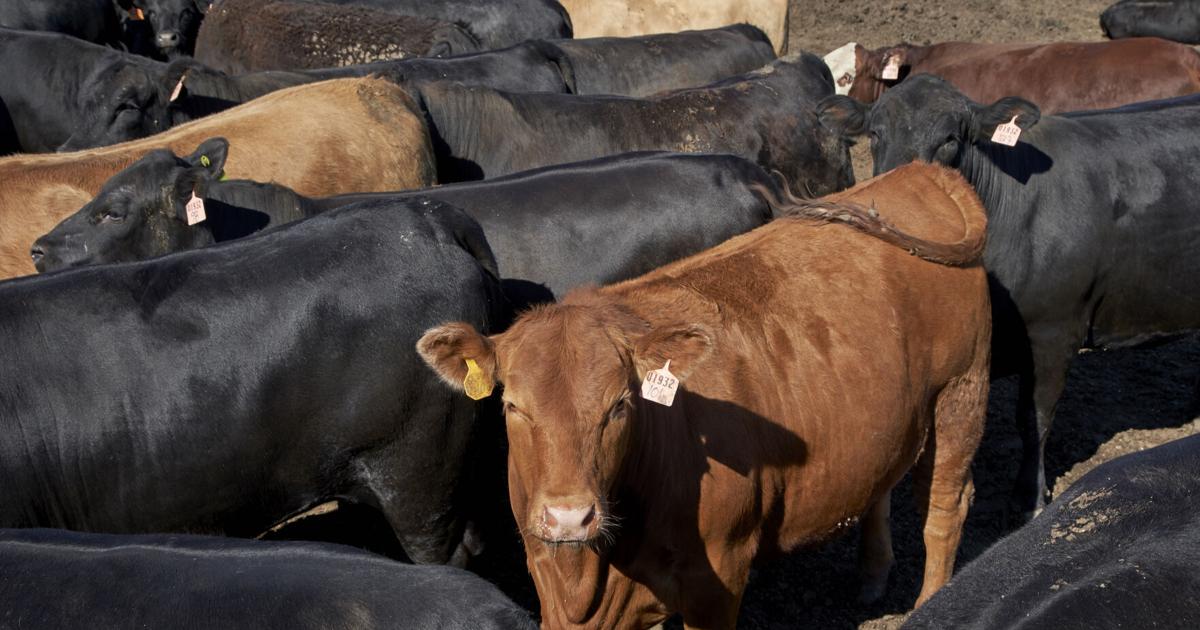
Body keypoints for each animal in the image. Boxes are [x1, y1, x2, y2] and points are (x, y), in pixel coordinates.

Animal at [415, 162, 992, 627]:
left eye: (620, 405)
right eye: (512, 406)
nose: (568, 517)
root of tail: (920, 173)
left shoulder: (720, 578)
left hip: (961, 393)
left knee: (945, 507)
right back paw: (872, 578)